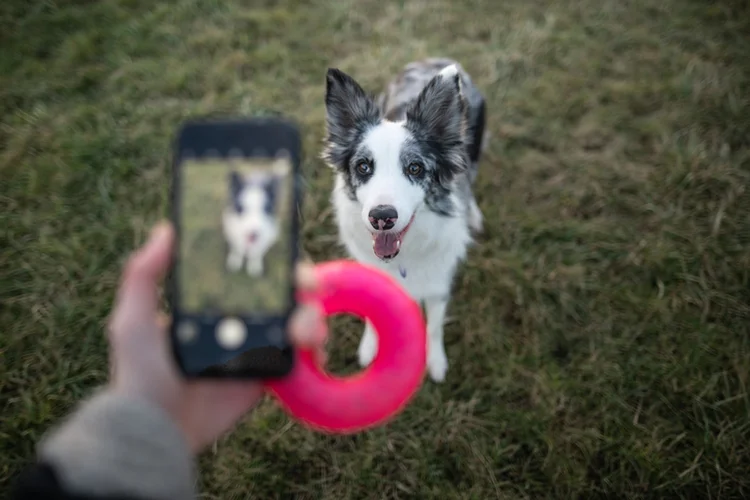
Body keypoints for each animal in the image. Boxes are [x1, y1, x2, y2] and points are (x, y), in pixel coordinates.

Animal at [322, 56, 488, 380]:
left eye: (415, 168)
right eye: (363, 167)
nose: (382, 217)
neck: (401, 259)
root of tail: (438, 59)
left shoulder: (438, 282)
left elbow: (434, 326)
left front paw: (435, 362)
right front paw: (369, 347)